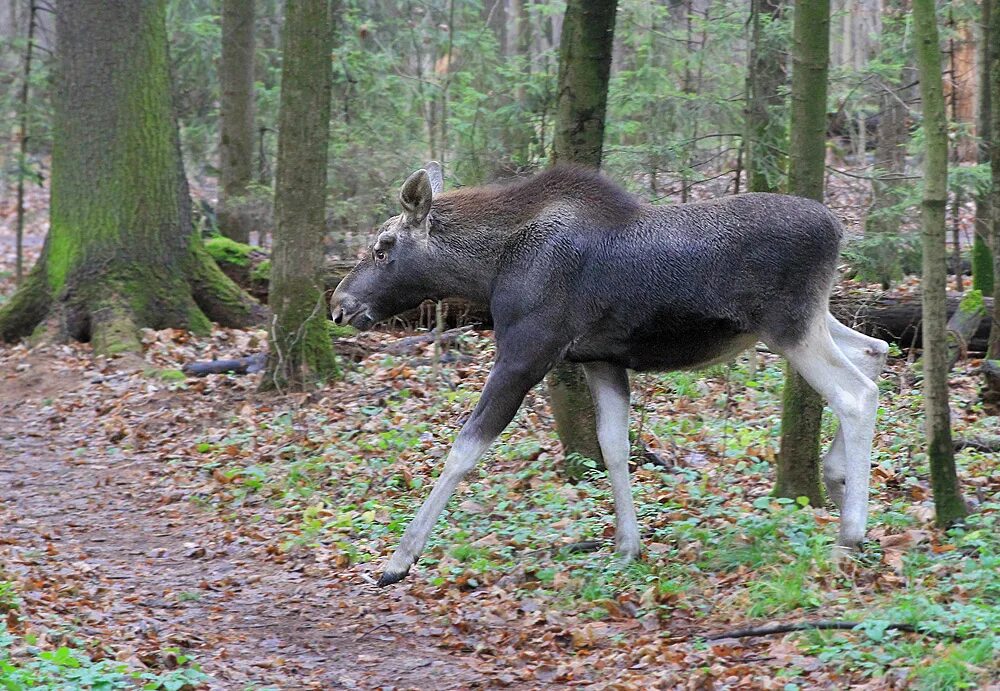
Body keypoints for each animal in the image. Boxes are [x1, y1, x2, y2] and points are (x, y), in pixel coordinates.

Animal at [332, 165, 888, 588]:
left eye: (383, 246)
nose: (339, 305)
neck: (488, 270)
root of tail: (839, 229)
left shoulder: (526, 353)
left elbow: (464, 448)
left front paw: (399, 559)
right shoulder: (601, 359)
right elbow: (614, 447)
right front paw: (626, 545)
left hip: (788, 324)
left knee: (855, 393)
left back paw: (851, 532)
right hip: (809, 319)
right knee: (874, 350)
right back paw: (837, 478)